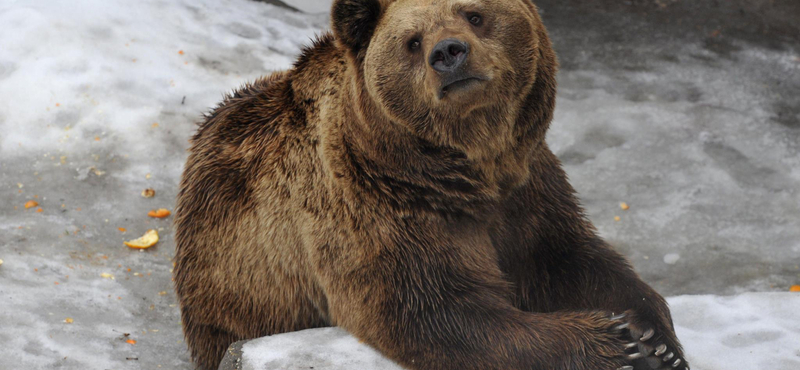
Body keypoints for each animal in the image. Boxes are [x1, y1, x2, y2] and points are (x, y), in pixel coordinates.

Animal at [173, 0, 688, 368]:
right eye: (412, 40)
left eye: (475, 14)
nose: (449, 53)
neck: (468, 171)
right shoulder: (378, 208)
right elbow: (434, 311)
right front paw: (615, 345)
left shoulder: (527, 190)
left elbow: (570, 257)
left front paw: (654, 337)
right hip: (234, 292)